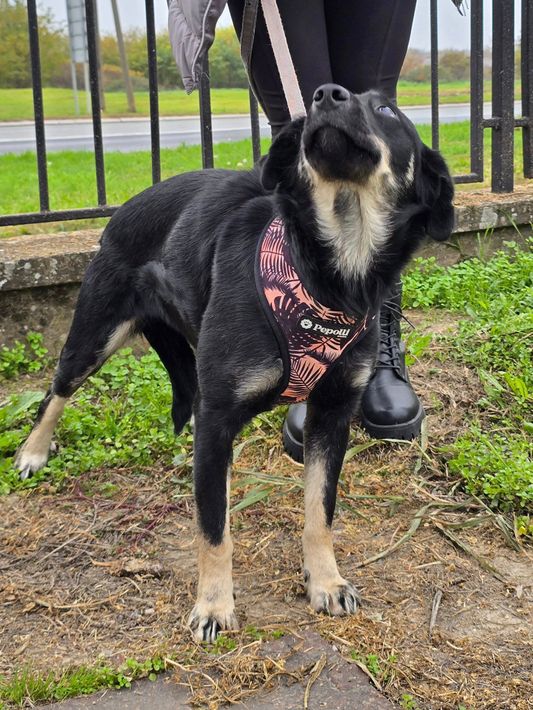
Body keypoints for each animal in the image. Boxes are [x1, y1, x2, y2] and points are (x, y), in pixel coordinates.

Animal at [15, 84, 454, 642]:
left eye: (385, 109)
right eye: (311, 110)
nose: (324, 94)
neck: (330, 273)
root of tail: (125, 206)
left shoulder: (331, 416)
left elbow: (319, 513)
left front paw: (325, 581)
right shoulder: (221, 414)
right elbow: (213, 528)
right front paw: (213, 605)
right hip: (95, 334)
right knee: (57, 391)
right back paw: (33, 452)